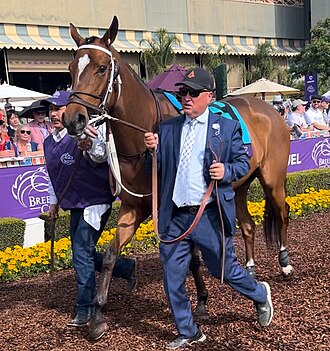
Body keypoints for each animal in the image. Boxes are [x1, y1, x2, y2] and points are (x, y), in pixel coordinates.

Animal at [62, 15, 292, 340]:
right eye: (71, 69)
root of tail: (269, 108)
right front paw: (97, 314)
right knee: (248, 225)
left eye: (102, 67)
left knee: (282, 213)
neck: (145, 133)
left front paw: (203, 302)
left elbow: (193, 256)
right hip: (239, 185)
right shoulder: (134, 207)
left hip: (272, 179)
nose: (73, 119)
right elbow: (109, 255)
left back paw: (284, 263)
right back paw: (248, 268)